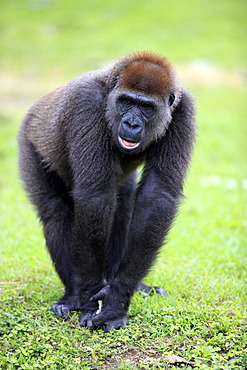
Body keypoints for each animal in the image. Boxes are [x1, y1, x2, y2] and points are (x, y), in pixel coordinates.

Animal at [17, 50, 197, 330]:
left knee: (122, 208)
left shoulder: (183, 109)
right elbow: (95, 198)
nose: (131, 123)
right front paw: (91, 297)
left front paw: (117, 296)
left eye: (146, 107)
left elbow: (156, 196)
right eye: (126, 102)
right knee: (55, 210)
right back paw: (73, 294)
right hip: (30, 139)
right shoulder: (86, 103)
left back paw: (125, 283)